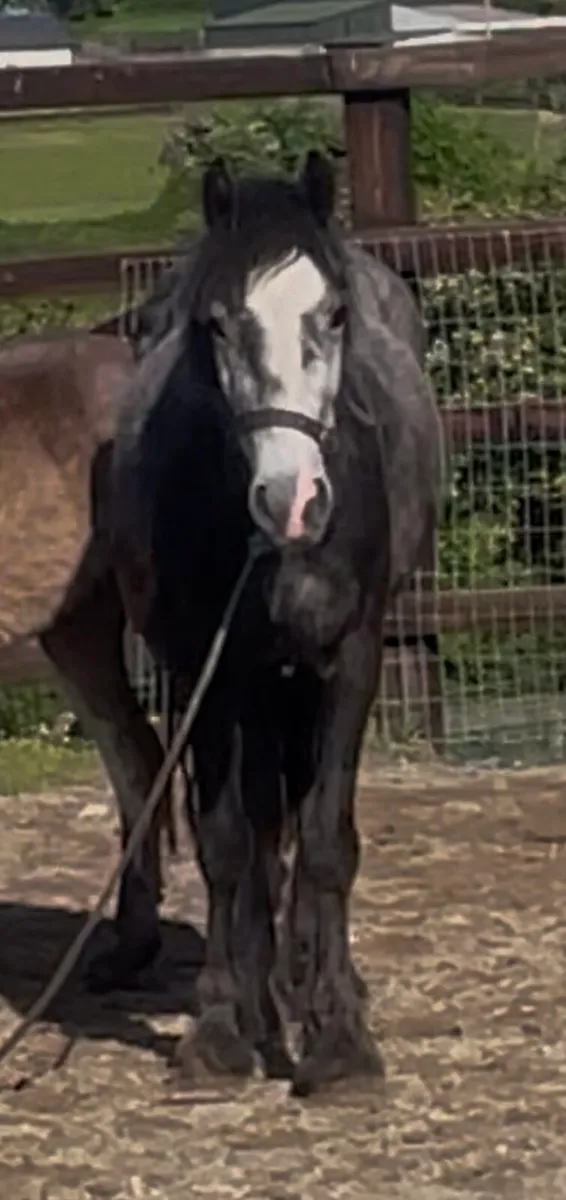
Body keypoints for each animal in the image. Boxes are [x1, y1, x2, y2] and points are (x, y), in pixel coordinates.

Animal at [106, 151, 443, 1097]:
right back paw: (264, 996)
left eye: (333, 314)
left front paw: (339, 1041)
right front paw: (224, 1029)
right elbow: (228, 843)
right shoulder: (204, 669)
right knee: (258, 831)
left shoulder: (351, 660)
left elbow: (327, 840)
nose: (291, 502)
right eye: (216, 325)